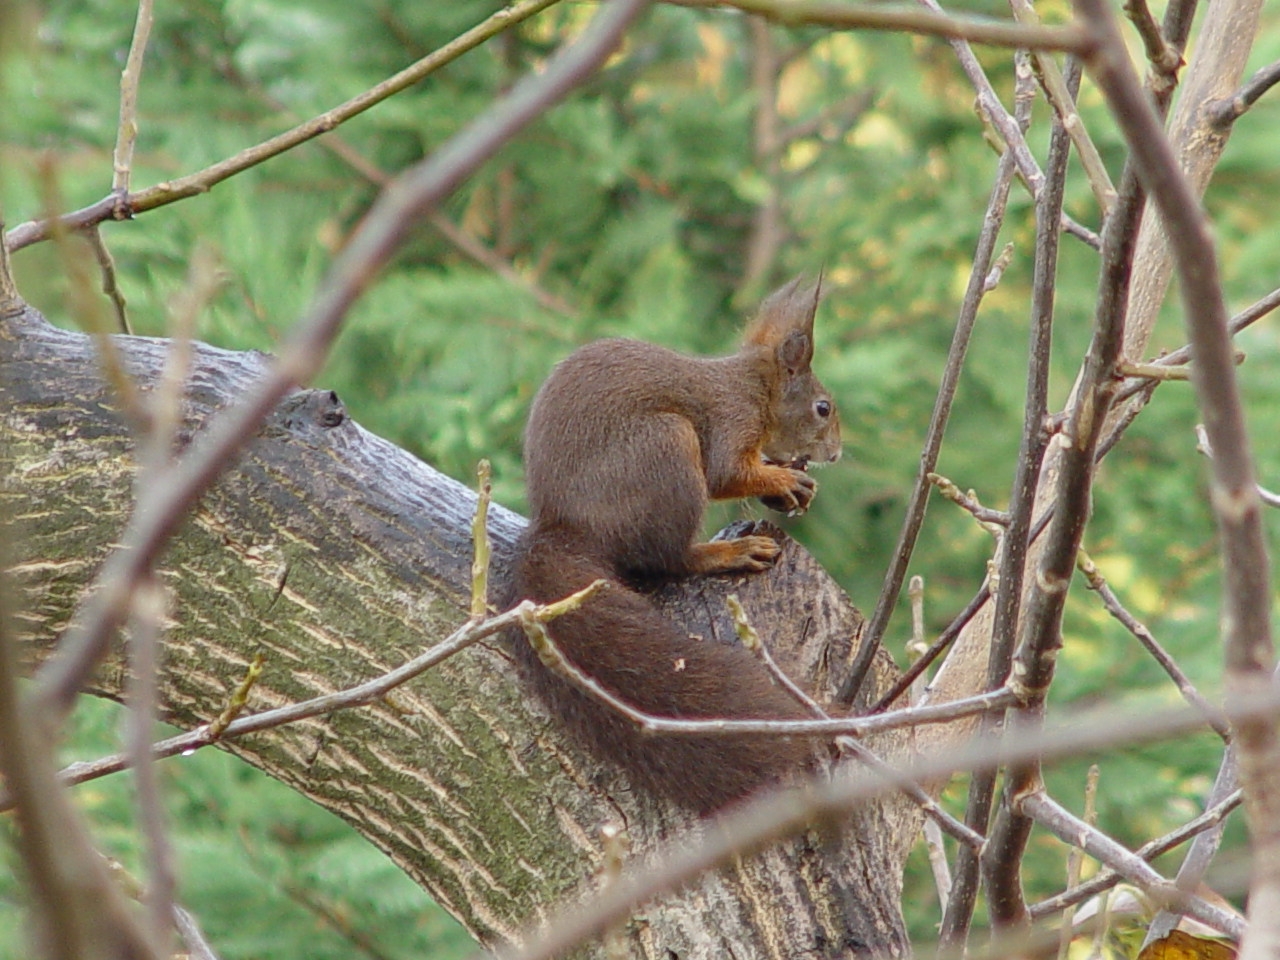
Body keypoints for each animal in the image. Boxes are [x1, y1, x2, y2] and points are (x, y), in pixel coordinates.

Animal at [509, 277, 839, 814]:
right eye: (823, 408)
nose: (835, 453)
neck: (756, 385)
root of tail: (563, 526)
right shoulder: (731, 420)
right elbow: (727, 472)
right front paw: (784, 478)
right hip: (667, 448)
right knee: (668, 559)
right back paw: (727, 553)